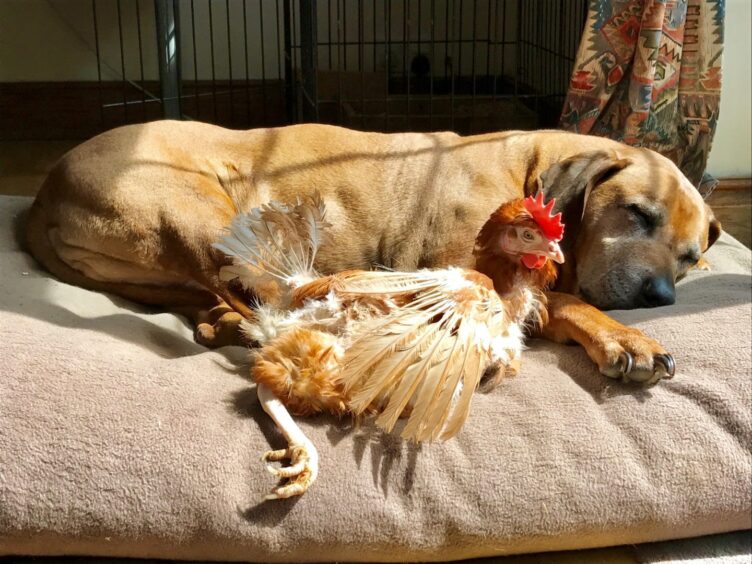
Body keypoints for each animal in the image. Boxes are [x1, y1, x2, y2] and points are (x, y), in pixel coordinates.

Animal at [25, 119, 724, 384]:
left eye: (690, 257)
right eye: (637, 214)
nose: (658, 297)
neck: (531, 168)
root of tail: (40, 197)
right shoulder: (474, 273)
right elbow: (567, 301)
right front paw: (627, 338)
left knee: (215, 296)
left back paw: (220, 318)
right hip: (206, 217)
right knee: (261, 298)